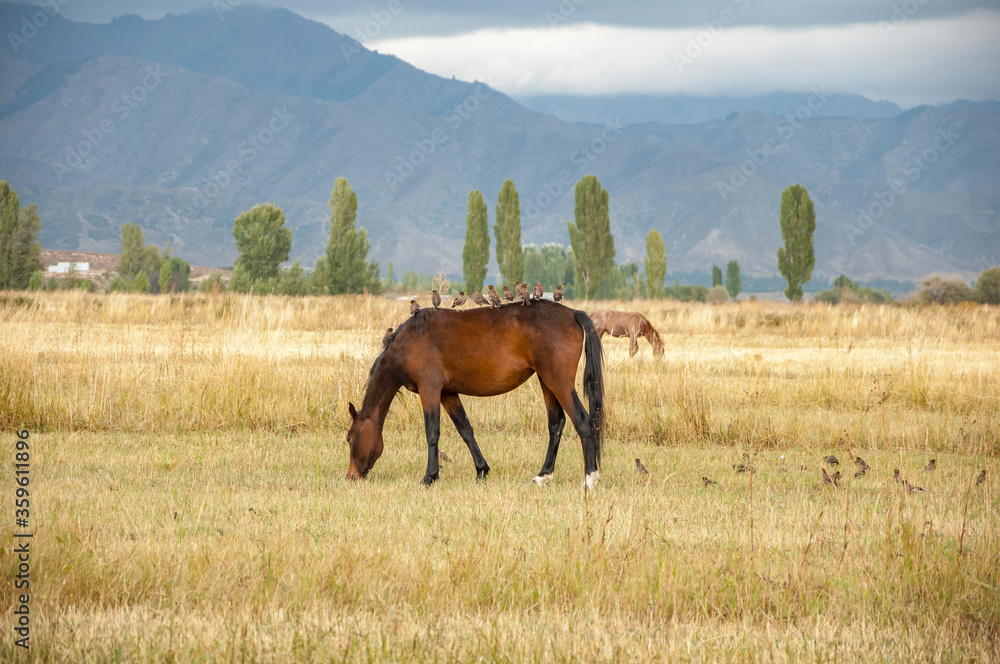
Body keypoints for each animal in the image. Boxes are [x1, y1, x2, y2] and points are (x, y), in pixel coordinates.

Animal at [346, 300, 605, 488]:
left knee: (582, 421)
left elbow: (432, 433)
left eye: (348, 439)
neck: (409, 340)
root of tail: (572, 313)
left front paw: (430, 477)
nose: (351, 476)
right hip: (546, 381)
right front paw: (481, 471)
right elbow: (466, 430)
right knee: (556, 423)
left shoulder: (429, 390)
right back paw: (543, 476)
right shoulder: (448, 394)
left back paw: (590, 478)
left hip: (558, 382)